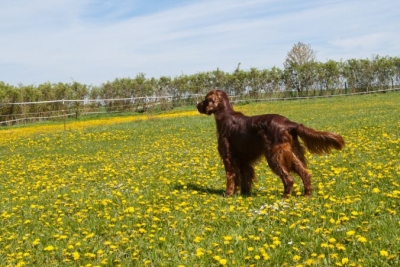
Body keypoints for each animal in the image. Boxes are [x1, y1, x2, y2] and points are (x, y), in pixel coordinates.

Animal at [197, 90, 344, 197]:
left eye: (205, 99)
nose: (197, 105)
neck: (225, 116)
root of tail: (289, 124)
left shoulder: (228, 157)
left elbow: (231, 175)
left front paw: (228, 193)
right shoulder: (243, 160)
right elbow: (245, 177)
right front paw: (244, 194)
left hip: (274, 156)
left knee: (289, 179)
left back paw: (285, 196)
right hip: (290, 153)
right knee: (305, 173)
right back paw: (306, 195)